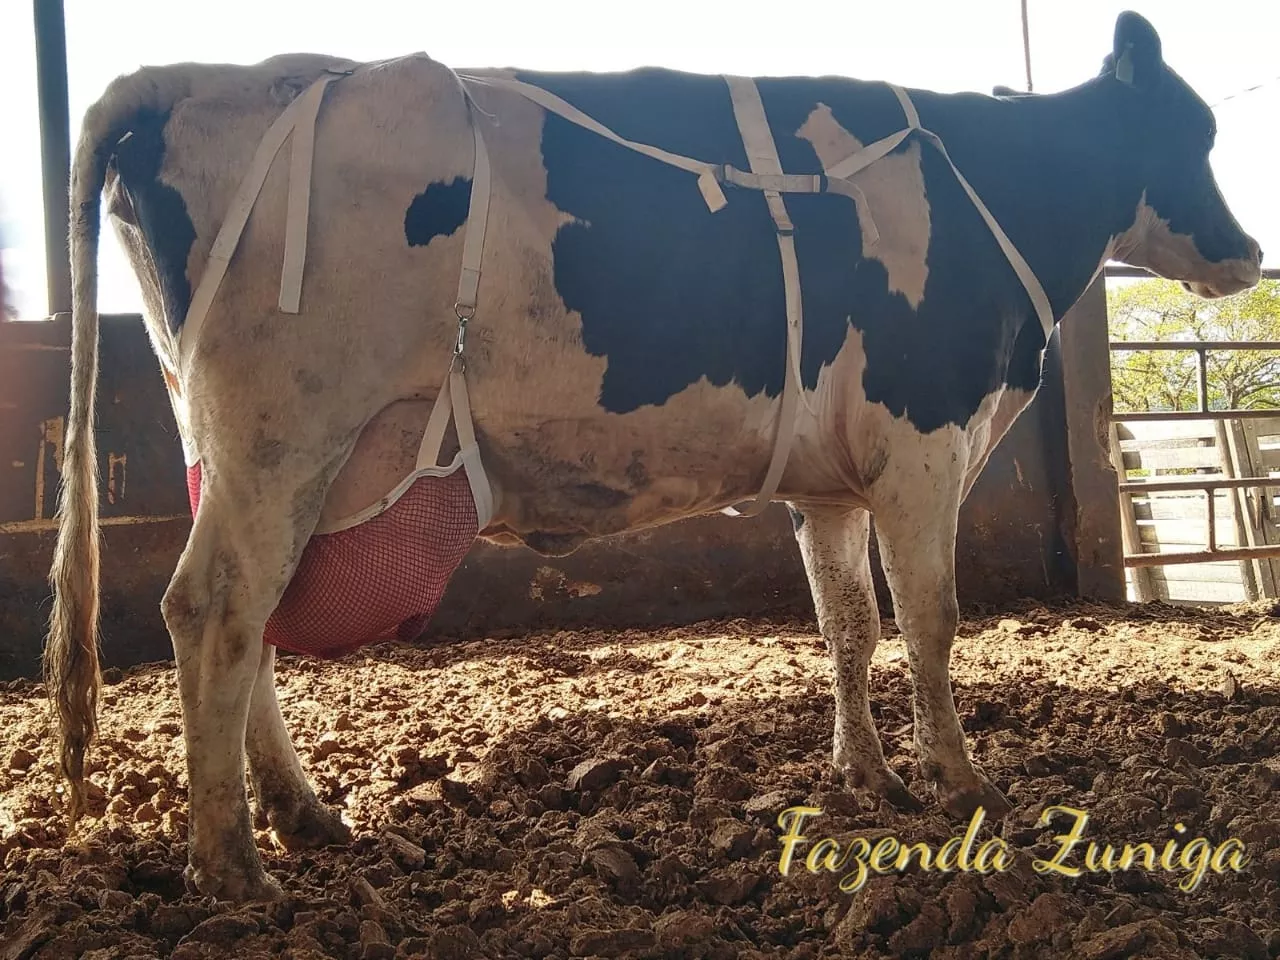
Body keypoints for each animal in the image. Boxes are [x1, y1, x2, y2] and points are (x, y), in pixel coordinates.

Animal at [45, 10, 1260, 901]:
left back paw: (301, 817)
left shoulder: (829, 485)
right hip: (282, 433)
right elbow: (931, 623)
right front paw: (963, 786)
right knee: (215, 608)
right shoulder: (922, 446)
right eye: (1192, 132)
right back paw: (232, 867)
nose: (1249, 250)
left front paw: (864, 775)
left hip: (241, 449)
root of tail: (187, 77)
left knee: (250, 624)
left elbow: (849, 626)